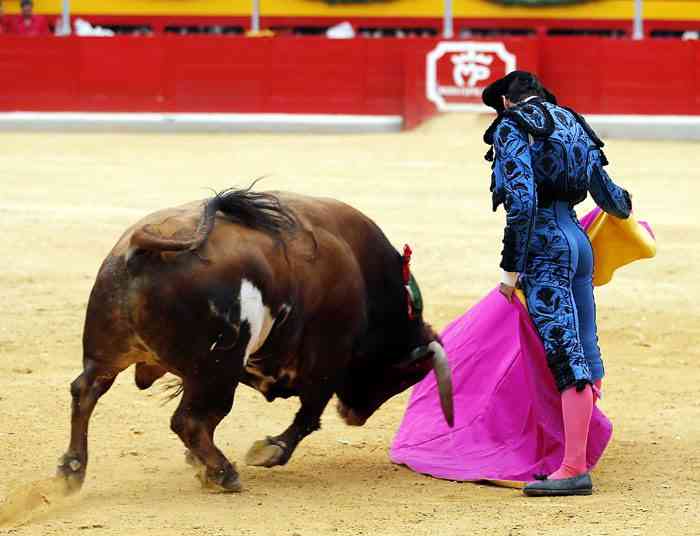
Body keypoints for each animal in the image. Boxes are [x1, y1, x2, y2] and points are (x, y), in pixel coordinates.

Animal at [56, 187, 453, 493]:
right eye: (402, 375)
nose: (354, 416)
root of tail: (144, 249)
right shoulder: (328, 358)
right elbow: (309, 415)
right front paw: (270, 451)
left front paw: (196, 462)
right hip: (219, 368)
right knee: (189, 420)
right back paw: (223, 473)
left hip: (108, 354)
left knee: (86, 391)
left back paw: (72, 470)